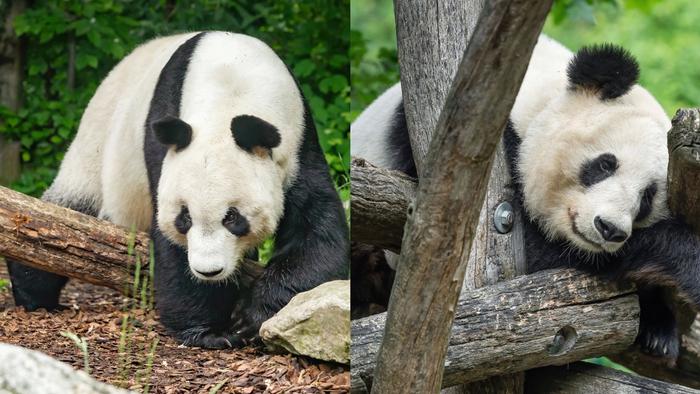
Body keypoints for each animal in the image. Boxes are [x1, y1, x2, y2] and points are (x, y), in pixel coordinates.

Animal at [6, 32, 350, 350]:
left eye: (233, 218)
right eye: (184, 218)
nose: (209, 271)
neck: (233, 85)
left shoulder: (298, 143)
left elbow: (320, 235)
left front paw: (249, 315)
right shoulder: (165, 139)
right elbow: (170, 245)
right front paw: (210, 331)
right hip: (98, 142)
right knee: (66, 211)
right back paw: (33, 292)